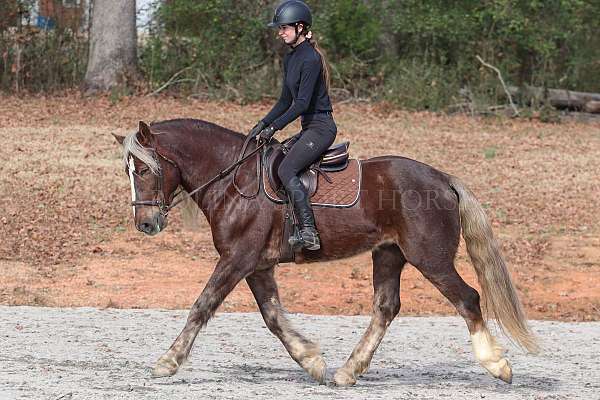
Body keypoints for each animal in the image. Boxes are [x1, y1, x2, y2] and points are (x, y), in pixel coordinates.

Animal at [113, 119, 540, 388]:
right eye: (129, 171)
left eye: (145, 170)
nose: (145, 224)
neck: (234, 180)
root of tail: (443, 179)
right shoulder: (256, 266)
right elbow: (273, 317)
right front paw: (312, 360)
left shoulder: (237, 259)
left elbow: (202, 306)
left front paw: (167, 362)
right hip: (389, 254)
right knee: (386, 308)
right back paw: (348, 371)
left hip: (430, 259)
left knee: (467, 298)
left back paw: (497, 365)